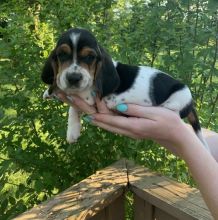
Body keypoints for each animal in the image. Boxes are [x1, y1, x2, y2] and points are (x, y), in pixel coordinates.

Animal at [41, 27, 209, 151]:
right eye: (62, 55)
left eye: (90, 57)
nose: (73, 78)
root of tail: (191, 103)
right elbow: (73, 108)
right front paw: (72, 131)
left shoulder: (89, 96)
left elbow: (72, 99)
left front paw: (54, 90)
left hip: (178, 97)